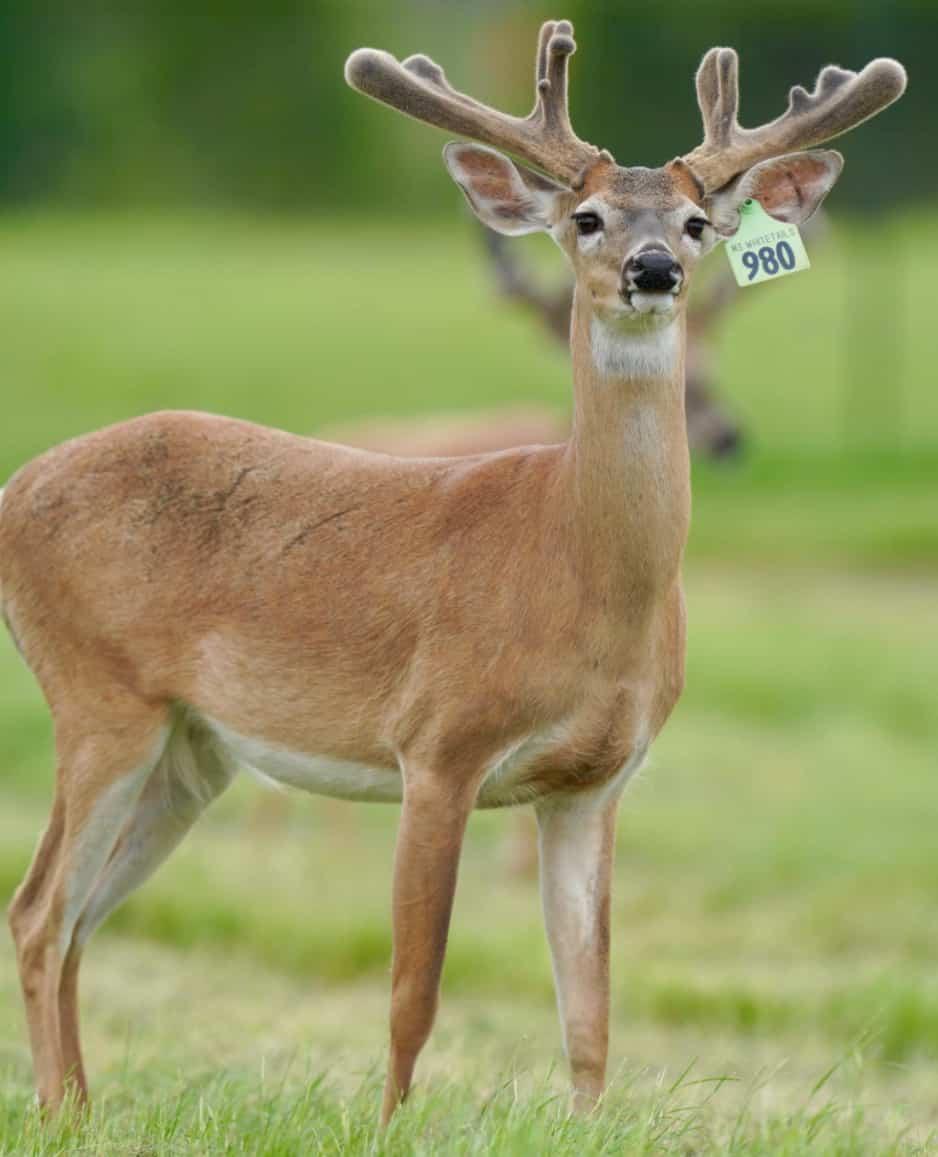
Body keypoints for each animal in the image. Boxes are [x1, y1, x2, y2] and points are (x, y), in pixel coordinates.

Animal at [0, 19, 905, 1126]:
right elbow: (413, 988)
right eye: (587, 217)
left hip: (189, 748)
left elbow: (590, 1007)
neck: (573, 572)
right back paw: (59, 1106)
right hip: (96, 696)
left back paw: (81, 1110)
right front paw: (387, 1125)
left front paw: (586, 1126)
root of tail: (15, 488)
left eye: (696, 222)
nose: (652, 269)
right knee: (39, 909)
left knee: (80, 916)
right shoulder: (436, 743)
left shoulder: (596, 783)